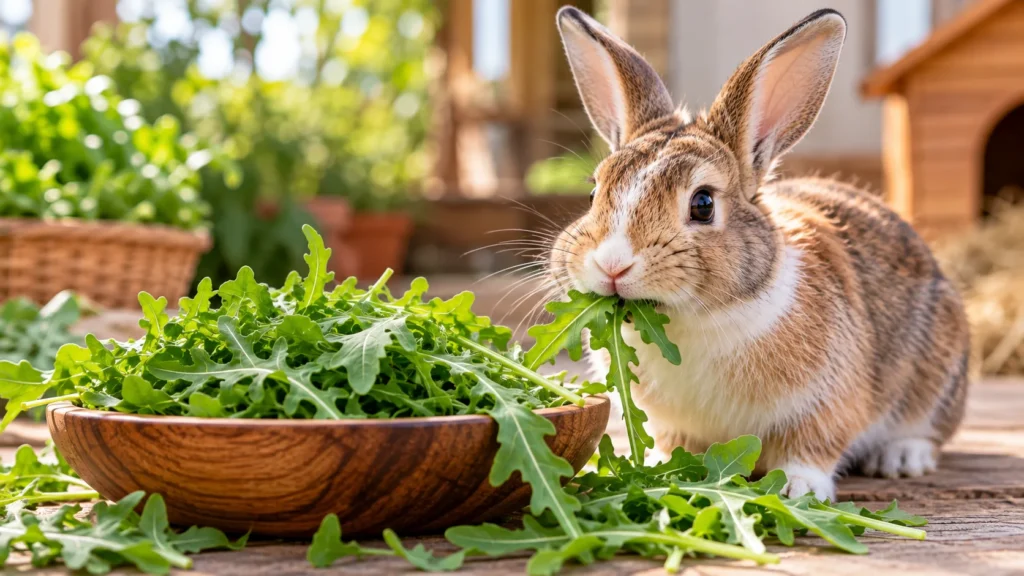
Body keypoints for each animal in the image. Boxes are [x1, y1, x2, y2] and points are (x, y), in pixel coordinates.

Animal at [548, 6, 970, 500]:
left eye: (703, 204)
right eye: (594, 191)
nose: (612, 264)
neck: (689, 323)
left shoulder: (828, 400)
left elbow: (812, 445)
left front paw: (797, 488)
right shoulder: (670, 424)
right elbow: (673, 444)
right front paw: (663, 468)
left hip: (935, 382)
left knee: (926, 428)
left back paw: (901, 458)